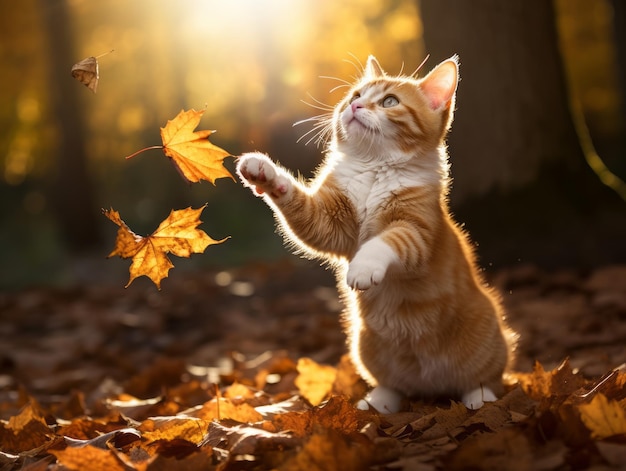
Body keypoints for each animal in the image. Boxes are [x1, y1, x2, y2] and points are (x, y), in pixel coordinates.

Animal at [236, 55, 516, 412]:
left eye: (390, 102)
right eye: (356, 94)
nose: (354, 105)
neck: (374, 170)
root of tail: (433, 385)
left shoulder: (417, 230)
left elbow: (386, 241)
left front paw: (363, 269)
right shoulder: (329, 223)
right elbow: (301, 208)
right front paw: (264, 172)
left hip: (488, 338)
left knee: (483, 377)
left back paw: (479, 398)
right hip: (364, 345)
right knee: (396, 386)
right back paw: (376, 403)